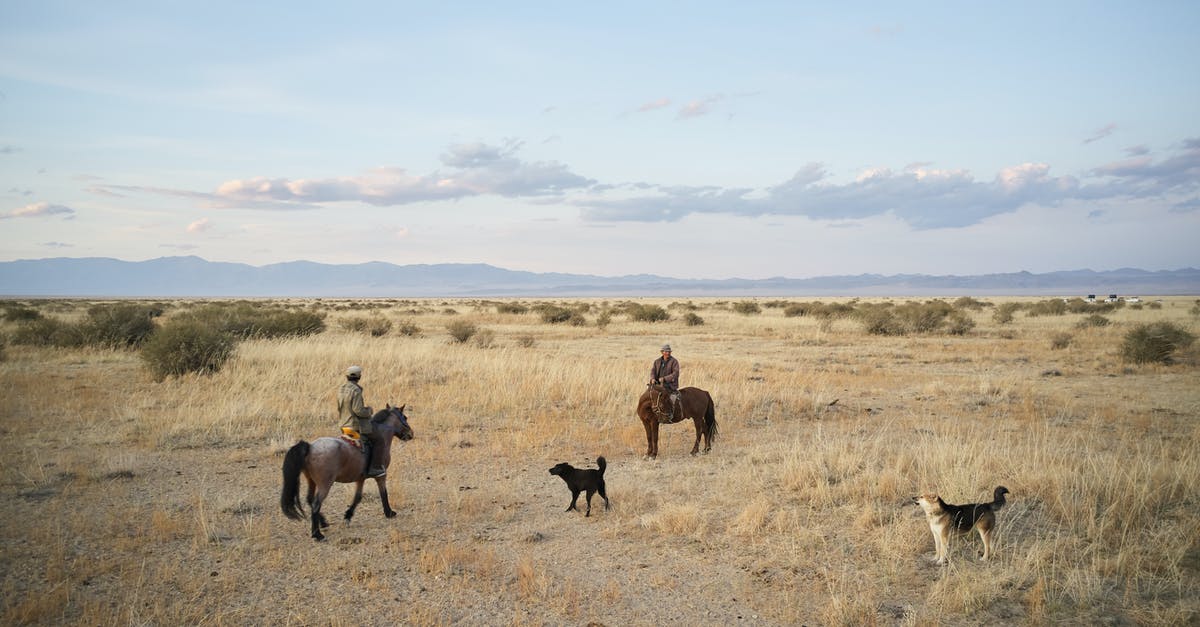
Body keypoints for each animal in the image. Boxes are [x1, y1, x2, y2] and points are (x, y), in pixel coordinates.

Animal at [280, 404, 414, 541]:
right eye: (405, 417)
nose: (411, 434)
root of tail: (310, 447)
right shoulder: (381, 475)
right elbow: (383, 493)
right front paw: (389, 512)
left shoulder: (361, 478)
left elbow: (358, 497)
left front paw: (348, 516)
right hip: (325, 484)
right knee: (316, 504)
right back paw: (317, 534)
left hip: (311, 480)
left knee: (310, 499)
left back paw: (323, 523)